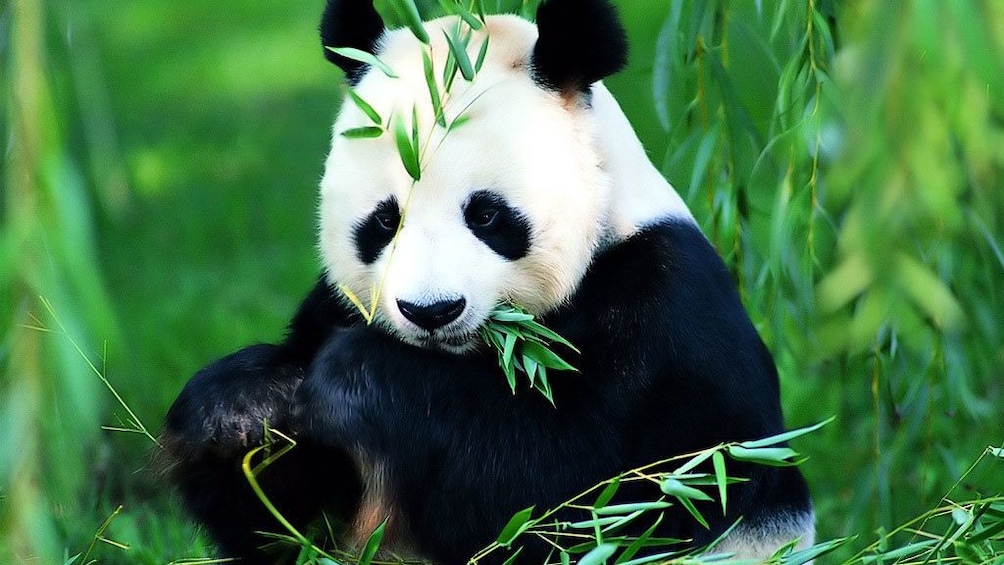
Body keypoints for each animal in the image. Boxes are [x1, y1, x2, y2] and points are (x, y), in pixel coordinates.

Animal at [158, 0, 815, 561]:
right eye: (385, 220)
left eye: (487, 216)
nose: (432, 311)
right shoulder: (335, 306)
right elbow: (293, 522)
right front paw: (242, 406)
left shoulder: (668, 318)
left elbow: (583, 492)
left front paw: (356, 377)